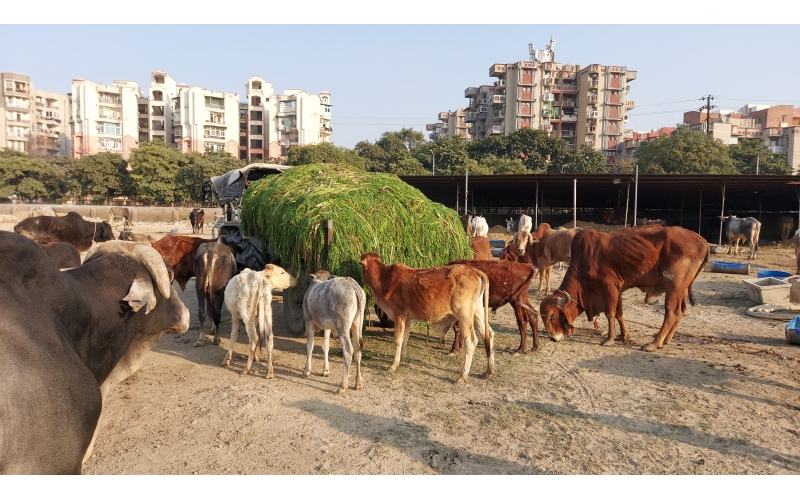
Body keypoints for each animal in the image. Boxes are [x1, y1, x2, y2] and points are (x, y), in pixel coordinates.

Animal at [358, 254, 494, 382]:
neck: (384, 278)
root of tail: (474, 271)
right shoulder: (407, 318)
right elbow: (405, 338)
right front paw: (402, 359)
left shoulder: (398, 315)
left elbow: (398, 340)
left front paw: (393, 365)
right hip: (478, 312)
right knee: (489, 334)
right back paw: (489, 371)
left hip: (464, 315)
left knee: (471, 342)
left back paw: (462, 376)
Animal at [536, 227, 708, 352]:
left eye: (552, 316)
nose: (552, 338)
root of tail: (703, 242)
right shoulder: (617, 289)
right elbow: (619, 313)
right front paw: (624, 335)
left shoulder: (609, 287)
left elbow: (610, 314)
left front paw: (609, 339)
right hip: (681, 288)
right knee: (681, 311)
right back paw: (667, 339)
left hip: (673, 286)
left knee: (671, 313)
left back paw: (654, 343)